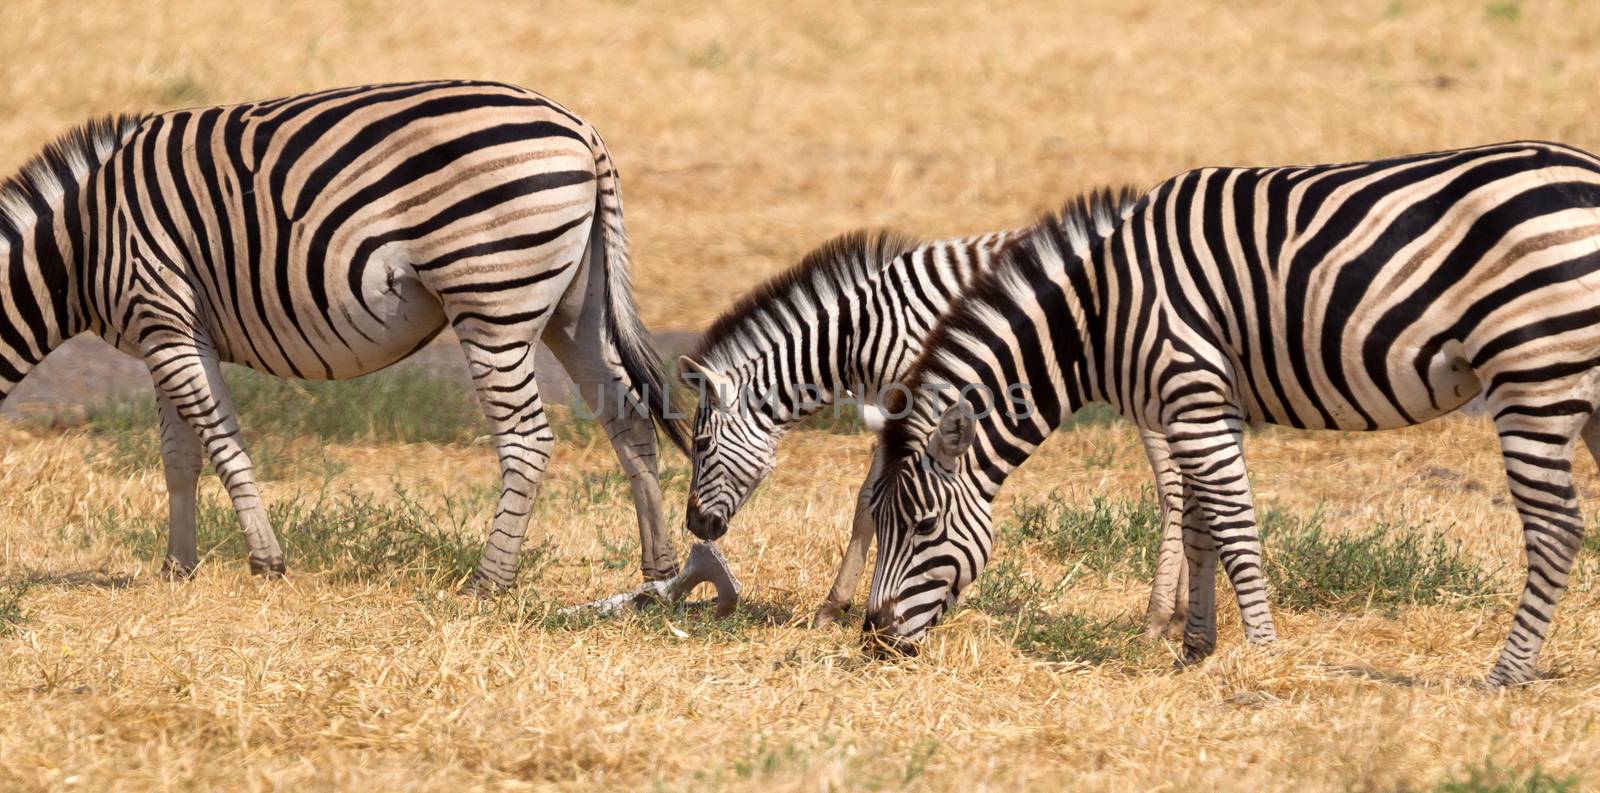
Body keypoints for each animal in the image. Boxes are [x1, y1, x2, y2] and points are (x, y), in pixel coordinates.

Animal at [0, 81, 688, 588]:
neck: (80, 245)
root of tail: (582, 130)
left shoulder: (164, 315)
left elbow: (220, 442)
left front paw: (266, 561)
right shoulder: (163, 332)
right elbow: (179, 454)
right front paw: (177, 568)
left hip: (491, 295)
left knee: (528, 438)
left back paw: (488, 581)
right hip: (577, 307)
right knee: (628, 418)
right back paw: (658, 571)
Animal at [675, 225, 1190, 636]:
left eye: (700, 444)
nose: (694, 524)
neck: (860, 334)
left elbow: (875, 501)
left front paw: (841, 605)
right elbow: (869, 502)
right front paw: (835, 607)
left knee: (1173, 486)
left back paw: (1158, 616)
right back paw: (1179, 614)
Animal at [870, 143, 1600, 687]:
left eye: (924, 524)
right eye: (878, 524)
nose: (873, 638)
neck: (1100, 311)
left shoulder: (1194, 395)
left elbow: (1235, 527)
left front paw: (1264, 652)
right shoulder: (1189, 406)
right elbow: (1200, 530)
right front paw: (1195, 648)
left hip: (1533, 370)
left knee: (1557, 527)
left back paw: (1505, 673)